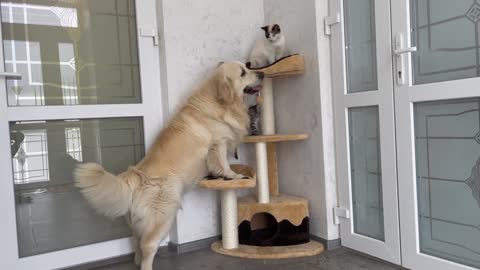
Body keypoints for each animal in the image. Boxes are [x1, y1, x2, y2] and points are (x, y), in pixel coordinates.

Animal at [73, 61, 264, 270]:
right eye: (243, 73)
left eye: (247, 66)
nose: (262, 73)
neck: (221, 101)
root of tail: (135, 176)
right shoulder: (218, 144)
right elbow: (223, 164)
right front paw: (234, 176)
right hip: (164, 215)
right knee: (148, 245)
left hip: (137, 223)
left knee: (136, 242)